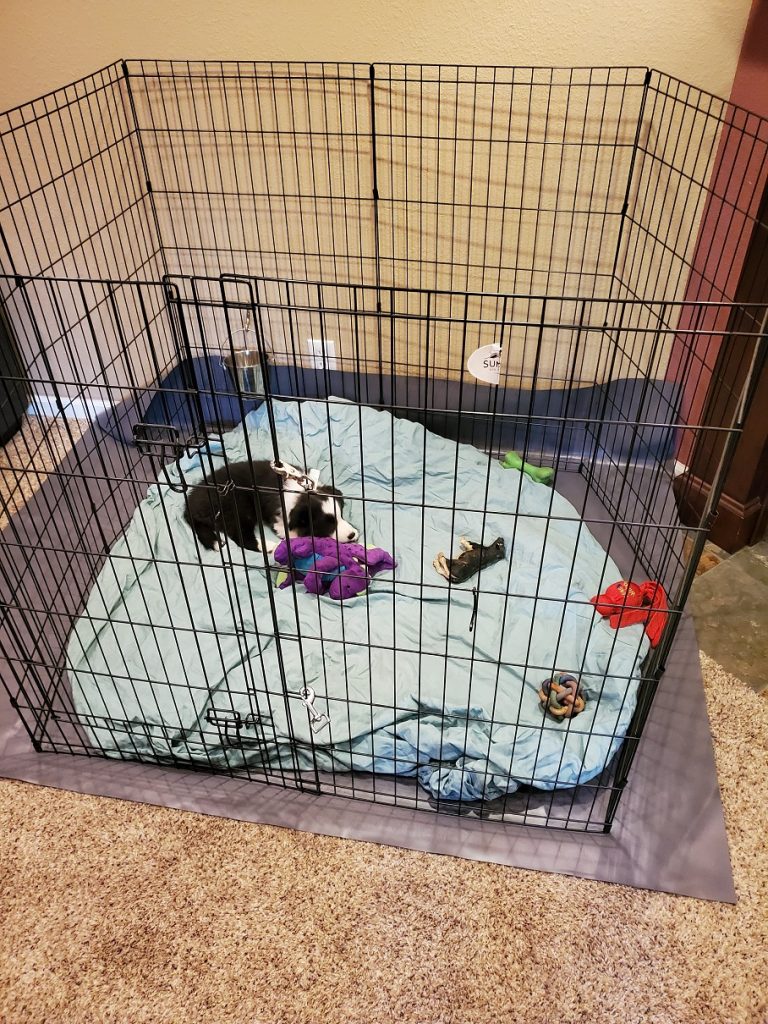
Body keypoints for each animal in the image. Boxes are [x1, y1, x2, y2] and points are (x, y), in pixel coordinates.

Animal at [185, 458, 360, 552]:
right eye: (327, 523)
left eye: (341, 515)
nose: (352, 535)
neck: (301, 493)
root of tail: (190, 506)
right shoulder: (280, 520)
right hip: (238, 508)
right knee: (241, 537)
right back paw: (270, 546)